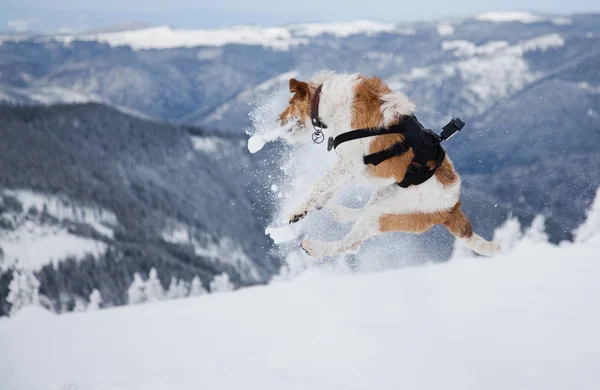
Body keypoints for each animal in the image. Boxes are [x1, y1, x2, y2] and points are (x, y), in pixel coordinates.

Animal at [278, 71, 500, 258]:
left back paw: (315, 247)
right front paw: (314, 205)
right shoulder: (349, 168)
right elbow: (328, 185)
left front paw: (296, 210)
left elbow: (318, 184)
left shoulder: (351, 164)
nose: (278, 120)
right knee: (362, 213)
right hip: (385, 195)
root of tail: (452, 208)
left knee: (352, 244)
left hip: (385, 211)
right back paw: (342, 213)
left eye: (290, 102)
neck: (334, 102)